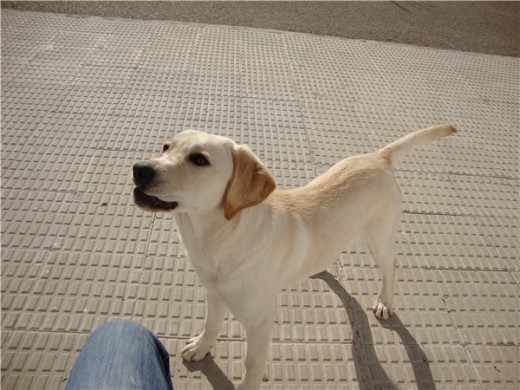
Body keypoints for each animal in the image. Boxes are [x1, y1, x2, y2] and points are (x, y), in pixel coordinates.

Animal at [133, 124, 456, 386]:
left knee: (391, 266)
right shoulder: (213, 293)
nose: (139, 168)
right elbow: (211, 323)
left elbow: (252, 365)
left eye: (199, 159)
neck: (219, 240)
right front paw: (201, 347)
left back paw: (385, 301)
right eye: (166, 146)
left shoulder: (261, 321)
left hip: (379, 239)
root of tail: (378, 157)